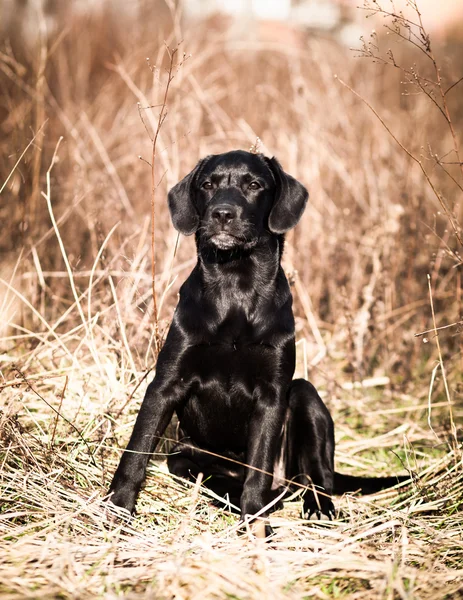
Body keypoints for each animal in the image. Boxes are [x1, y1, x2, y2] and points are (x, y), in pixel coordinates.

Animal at [109, 151, 406, 536]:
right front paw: (117, 508)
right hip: (184, 457)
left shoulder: (272, 393)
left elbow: (258, 469)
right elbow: (137, 449)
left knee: (316, 478)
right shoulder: (166, 384)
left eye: (253, 185)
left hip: (305, 397)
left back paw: (316, 507)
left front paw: (255, 527)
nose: (222, 213)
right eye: (208, 185)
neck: (236, 284)